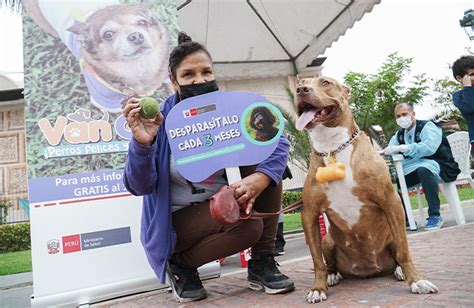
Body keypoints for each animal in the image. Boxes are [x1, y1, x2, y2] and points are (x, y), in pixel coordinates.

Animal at [294, 76, 438, 304]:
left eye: (325, 82)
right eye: (300, 83)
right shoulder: (309, 213)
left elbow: (405, 251)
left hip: (391, 236)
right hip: (328, 240)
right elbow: (317, 261)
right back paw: (333, 275)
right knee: (329, 262)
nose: (301, 90)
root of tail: (368, 271)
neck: (332, 147)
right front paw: (318, 288)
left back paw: (399, 271)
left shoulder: (391, 201)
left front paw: (417, 281)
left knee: (398, 253)